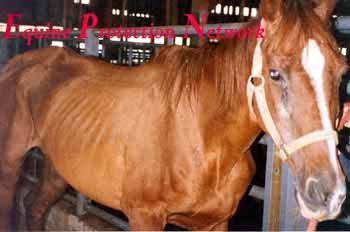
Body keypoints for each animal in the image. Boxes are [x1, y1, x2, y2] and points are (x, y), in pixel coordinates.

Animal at [0, 0, 348, 230]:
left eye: (342, 71)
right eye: (274, 74)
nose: (328, 194)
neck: (202, 138)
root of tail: (16, 65)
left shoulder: (215, 222)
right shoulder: (145, 217)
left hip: (58, 167)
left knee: (34, 207)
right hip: (10, 164)